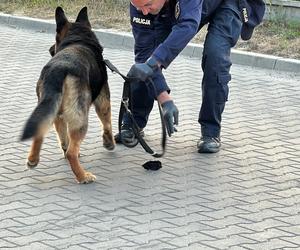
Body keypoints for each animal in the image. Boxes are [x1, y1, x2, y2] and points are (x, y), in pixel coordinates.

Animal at [20, 6, 115, 184]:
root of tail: (59, 69)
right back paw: (83, 176)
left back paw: (33, 160)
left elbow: (64, 139)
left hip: (49, 110)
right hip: (80, 118)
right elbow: (107, 123)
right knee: (71, 152)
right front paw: (109, 143)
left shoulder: (59, 117)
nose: (50, 49)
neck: (78, 39)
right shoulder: (103, 101)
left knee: (40, 132)